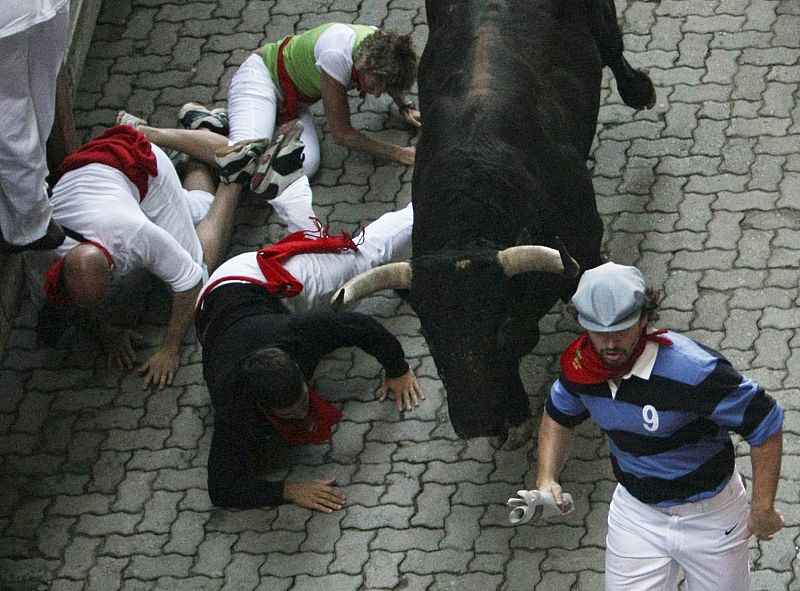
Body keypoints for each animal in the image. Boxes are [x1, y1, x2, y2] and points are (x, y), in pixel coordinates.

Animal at [410, 0, 652, 444]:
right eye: (430, 334)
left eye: (503, 325)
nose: (476, 422)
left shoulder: (585, 240)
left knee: (612, 45)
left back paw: (639, 90)